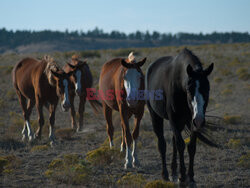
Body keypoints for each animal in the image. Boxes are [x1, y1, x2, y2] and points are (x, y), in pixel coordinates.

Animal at [146, 48, 215, 184]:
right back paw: (165, 174)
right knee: (162, 143)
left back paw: (173, 172)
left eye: (208, 89)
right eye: (189, 89)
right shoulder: (173, 119)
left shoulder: (191, 121)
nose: (200, 120)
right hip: (156, 116)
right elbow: (181, 145)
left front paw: (191, 177)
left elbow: (191, 146)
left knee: (173, 141)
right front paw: (182, 176)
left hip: (182, 122)